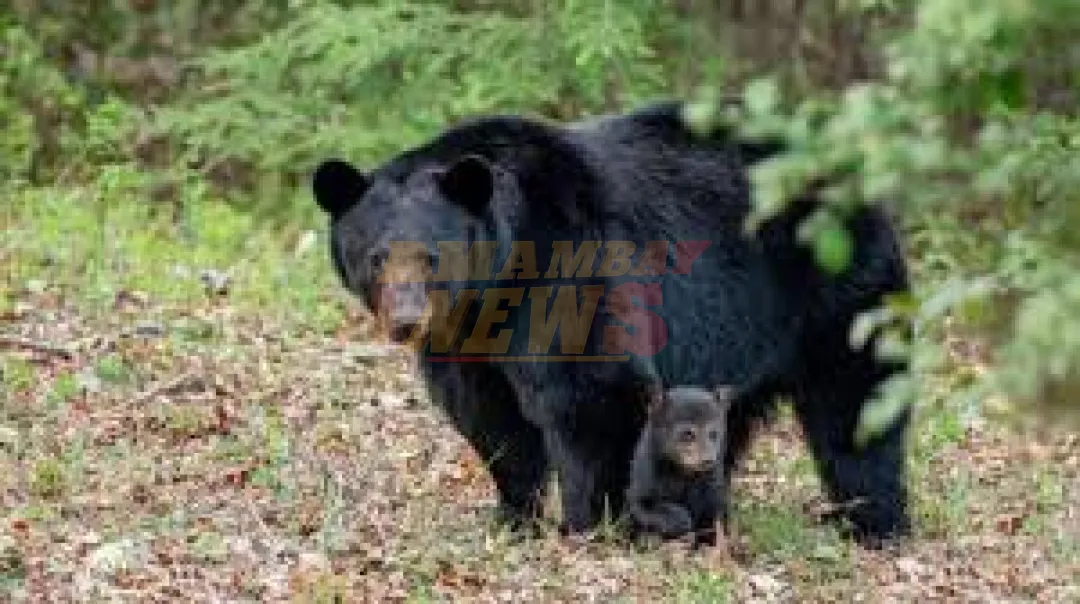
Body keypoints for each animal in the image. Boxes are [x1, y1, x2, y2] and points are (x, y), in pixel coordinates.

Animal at [626, 383, 735, 548]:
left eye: (714, 433)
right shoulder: (643, 482)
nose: (708, 460)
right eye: (688, 433)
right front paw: (680, 519)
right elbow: (642, 506)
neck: (682, 473)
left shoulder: (713, 488)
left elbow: (715, 515)